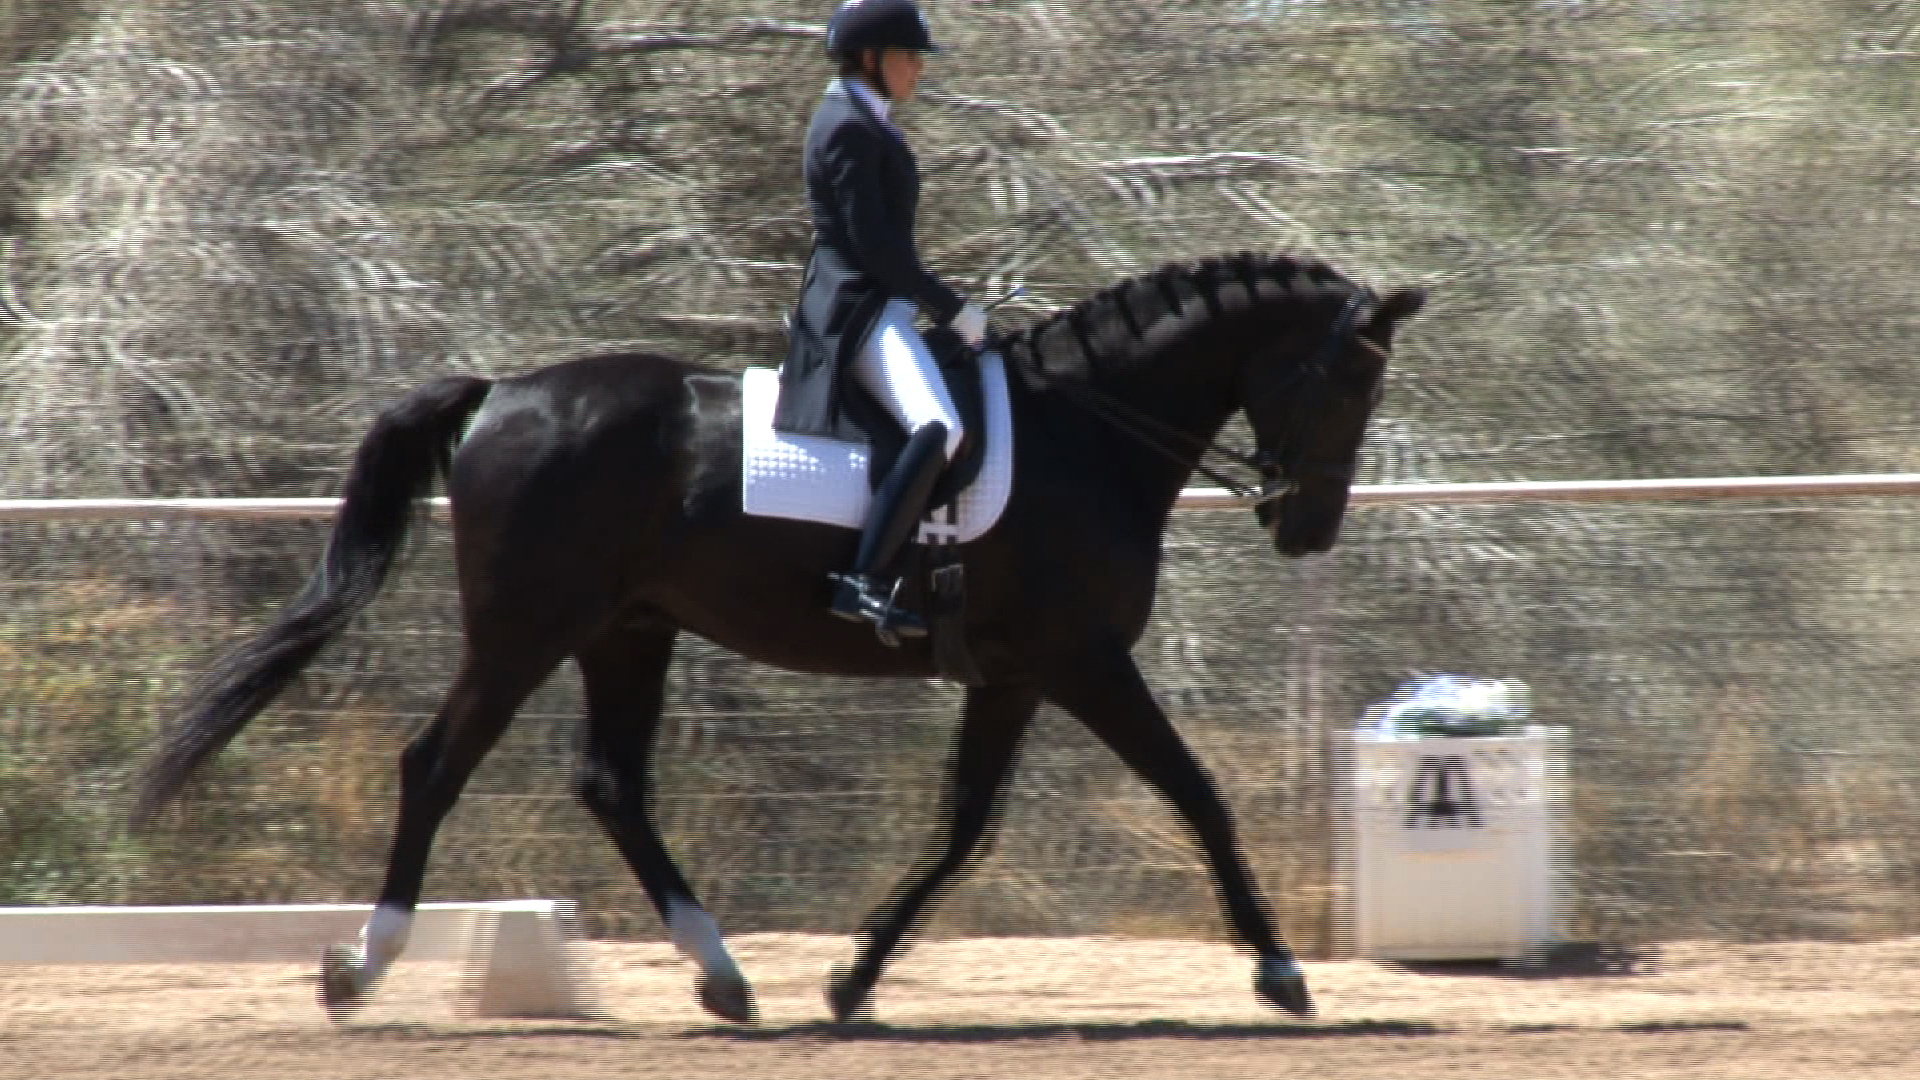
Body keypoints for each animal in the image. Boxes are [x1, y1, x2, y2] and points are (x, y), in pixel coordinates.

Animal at [133, 251, 1425, 1025]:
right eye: (1348, 386)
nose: (1307, 528)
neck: (1086, 436)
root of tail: (502, 393)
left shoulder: (1014, 676)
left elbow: (962, 828)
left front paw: (853, 978)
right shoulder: (1085, 662)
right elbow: (1198, 793)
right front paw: (1280, 972)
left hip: (626, 633)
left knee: (612, 784)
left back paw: (724, 975)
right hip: (524, 632)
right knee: (436, 765)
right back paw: (361, 966)